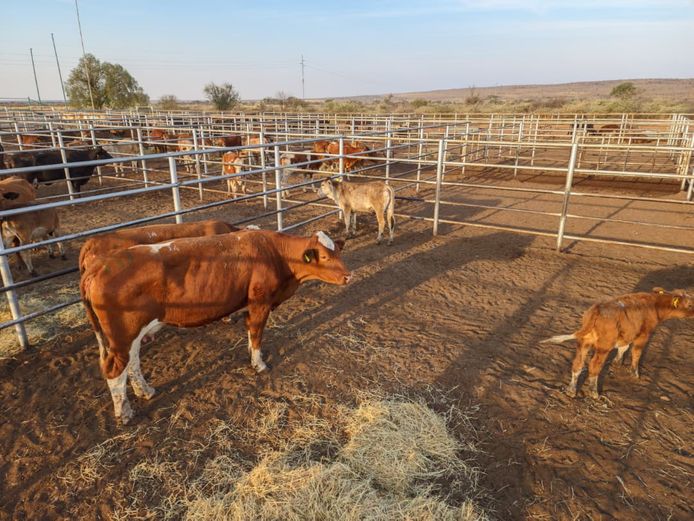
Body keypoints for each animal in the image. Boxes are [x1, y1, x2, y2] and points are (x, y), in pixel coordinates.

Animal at [80, 229, 351, 424]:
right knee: (114, 371)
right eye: (324, 256)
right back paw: (124, 413)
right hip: (122, 336)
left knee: (133, 363)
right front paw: (259, 364)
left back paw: (146, 391)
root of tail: (99, 266)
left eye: (339, 252)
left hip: (131, 335)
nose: (349, 275)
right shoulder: (260, 303)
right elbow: (256, 334)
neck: (276, 253)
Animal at [541, 288, 694, 399]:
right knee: (594, 366)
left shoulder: (627, 334)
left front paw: (617, 362)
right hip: (603, 347)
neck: (654, 304)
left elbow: (623, 347)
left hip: (584, 342)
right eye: (690, 304)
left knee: (578, 364)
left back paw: (571, 391)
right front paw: (635, 373)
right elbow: (636, 353)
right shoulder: (643, 336)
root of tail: (597, 309)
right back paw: (594, 393)